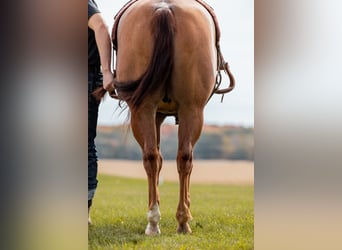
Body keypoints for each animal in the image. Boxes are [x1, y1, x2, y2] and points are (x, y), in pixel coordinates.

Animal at [93, 0, 234, 235]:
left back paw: (154, 220)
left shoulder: (157, 114)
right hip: (191, 110)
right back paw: (181, 221)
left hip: (145, 109)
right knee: (183, 158)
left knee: (155, 157)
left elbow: (157, 160)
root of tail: (164, 9)